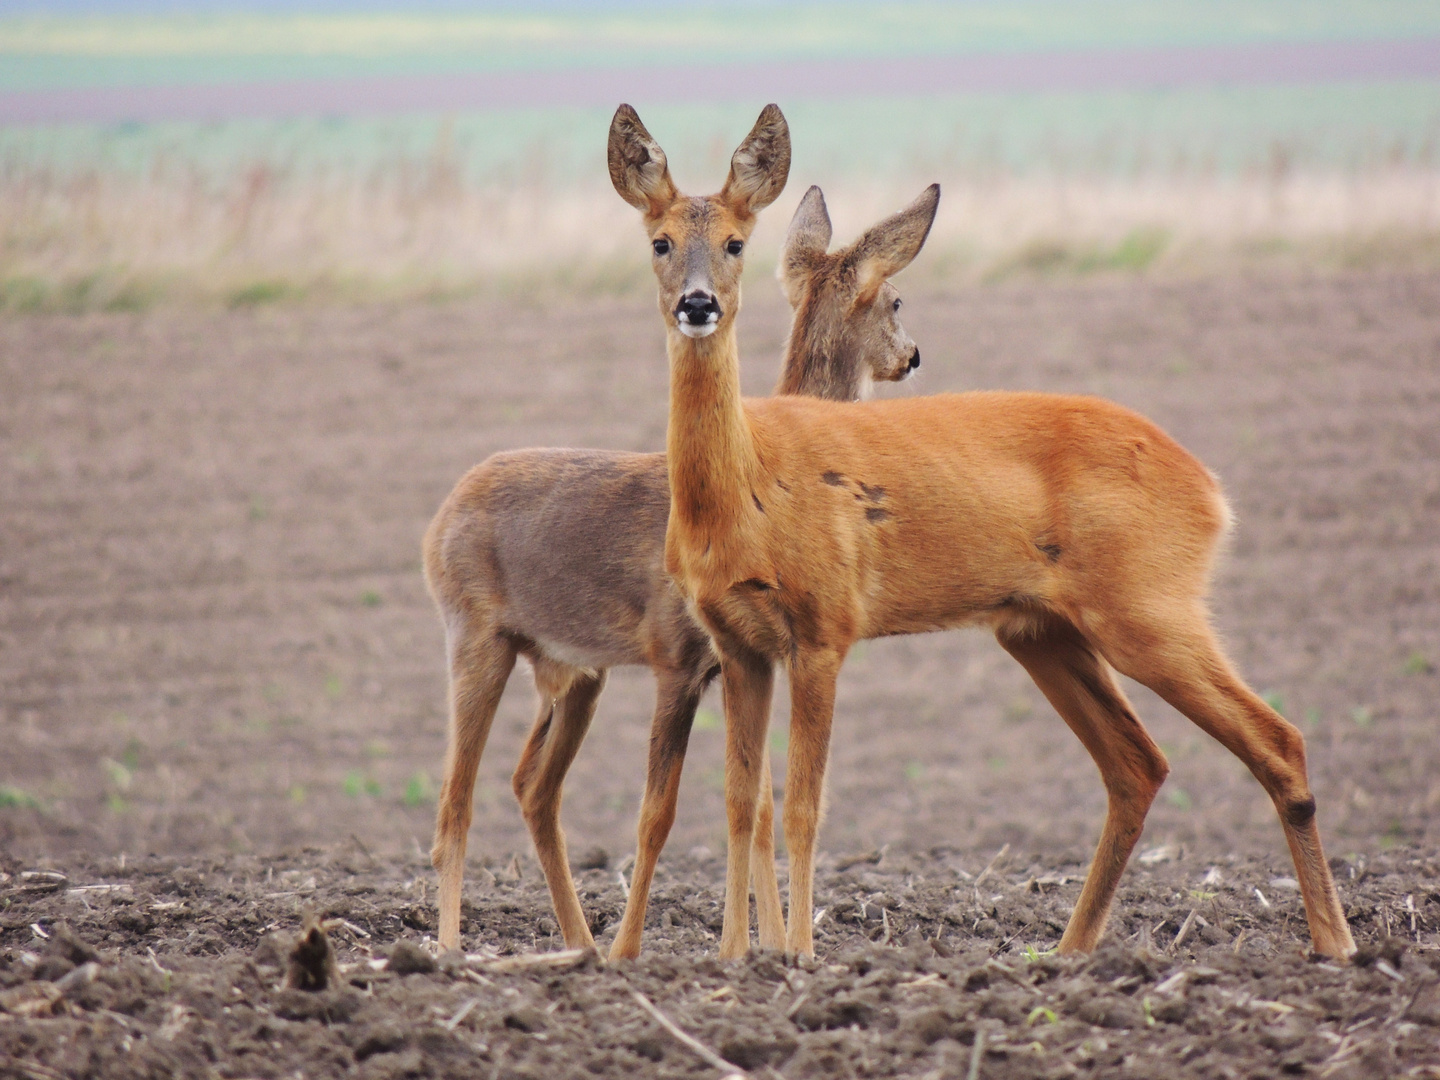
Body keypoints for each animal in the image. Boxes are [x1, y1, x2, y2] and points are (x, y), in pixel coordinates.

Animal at [420, 182, 938, 961]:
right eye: (898, 300)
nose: (912, 356)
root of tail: (438, 518)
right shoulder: (677, 653)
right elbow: (657, 814)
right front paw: (641, 951)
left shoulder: (744, 657)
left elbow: (757, 804)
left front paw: (765, 944)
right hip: (475, 634)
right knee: (455, 802)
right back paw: (457, 951)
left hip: (576, 671)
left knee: (532, 788)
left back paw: (579, 945)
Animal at [610, 103, 1359, 961]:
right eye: (659, 241)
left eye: (738, 242)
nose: (697, 304)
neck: (748, 489)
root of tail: (1210, 487)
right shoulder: (740, 642)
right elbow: (744, 803)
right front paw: (741, 958)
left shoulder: (826, 628)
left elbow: (798, 807)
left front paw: (797, 956)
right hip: (1041, 631)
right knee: (1139, 764)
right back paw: (1069, 953)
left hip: (1148, 609)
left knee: (1277, 740)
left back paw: (1336, 946)